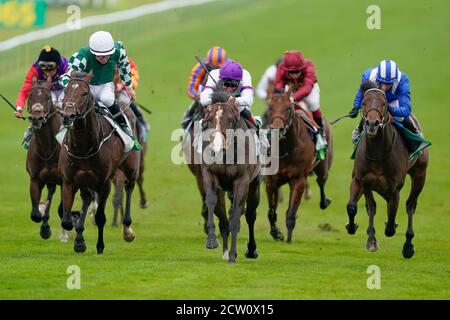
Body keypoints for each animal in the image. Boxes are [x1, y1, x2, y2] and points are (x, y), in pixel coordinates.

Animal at [25, 77, 67, 240]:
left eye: (48, 97)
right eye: (30, 97)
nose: (36, 117)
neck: (47, 147)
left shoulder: (64, 179)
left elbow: (62, 208)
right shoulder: (35, 178)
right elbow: (35, 214)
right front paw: (45, 228)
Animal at [59, 72, 140, 252]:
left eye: (84, 93)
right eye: (66, 91)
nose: (68, 116)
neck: (84, 148)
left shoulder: (104, 183)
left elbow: (101, 217)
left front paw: (100, 245)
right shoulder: (69, 181)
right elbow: (66, 221)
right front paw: (79, 239)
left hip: (130, 167)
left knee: (129, 187)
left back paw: (127, 230)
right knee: (86, 197)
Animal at [200, 90, 260, 262]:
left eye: (231, 120)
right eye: (208, 118)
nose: (217, 148)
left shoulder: (242, 181)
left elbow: (237, 214)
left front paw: (233, 254)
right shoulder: (210, 175)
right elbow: (211, 202)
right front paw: (212, 240)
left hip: (254, 185)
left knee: (250, 215)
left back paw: (251, 250)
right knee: (223, 217)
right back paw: (225, 252)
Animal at [262, 87, 332, 242]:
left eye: (288, 108)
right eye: (270, 107)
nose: (277, 129)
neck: (285, 148)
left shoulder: (298, 180)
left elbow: (291, 213)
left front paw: (288, 239)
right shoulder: (271, 180)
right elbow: (271, 211)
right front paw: (276, 233)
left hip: (323, 167)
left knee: (321, 181)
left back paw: (324, 201)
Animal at [344, 81, 428, 258]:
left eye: (384, 104)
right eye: (364, 103)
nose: (372, 124)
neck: (378, 153)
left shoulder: (394, 188)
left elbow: (391, 220)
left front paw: (391, 228)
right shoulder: (363, 181)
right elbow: (361, 206)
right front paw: (368, 238)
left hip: (420, 174)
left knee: (410, 204)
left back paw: (408, 246)